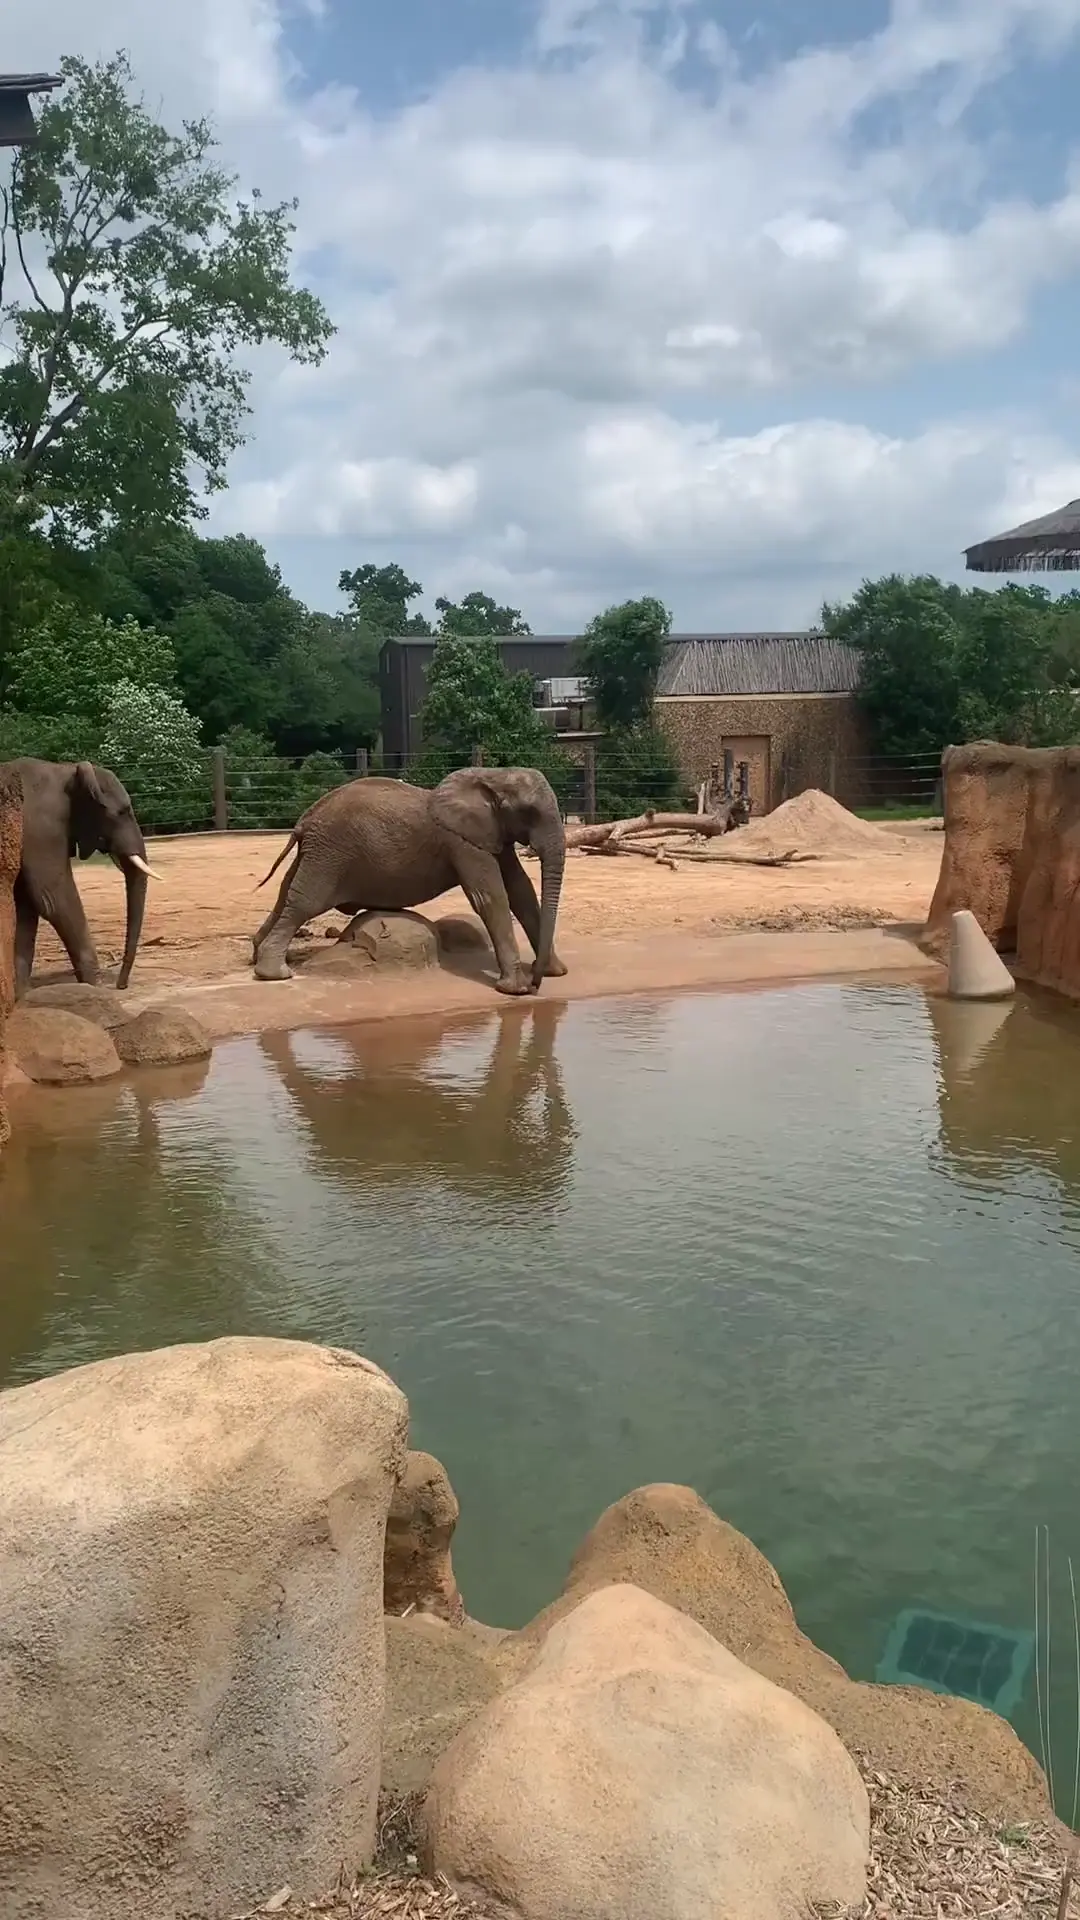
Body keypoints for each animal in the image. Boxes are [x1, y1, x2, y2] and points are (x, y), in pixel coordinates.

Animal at [5, 758, 160, 997]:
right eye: (123, 812)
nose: (120, 985)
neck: (64, 770)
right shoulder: (42, 828)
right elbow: (51, 898)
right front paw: (94, 987)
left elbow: (27, 905)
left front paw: (22, 995)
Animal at [252, 765, 567, 995]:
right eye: (529, 812)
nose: (536, 984)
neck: (494, 775)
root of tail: (305, 819)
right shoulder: (462, 842)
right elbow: (492, 898)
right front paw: (516, 990)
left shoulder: (493, 834)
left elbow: (521, 892)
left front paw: (557, 972)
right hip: (329, 854)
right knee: (305, 902)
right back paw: (274, 974)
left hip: (317, 853)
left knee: (285, 894)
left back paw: (259, 955)